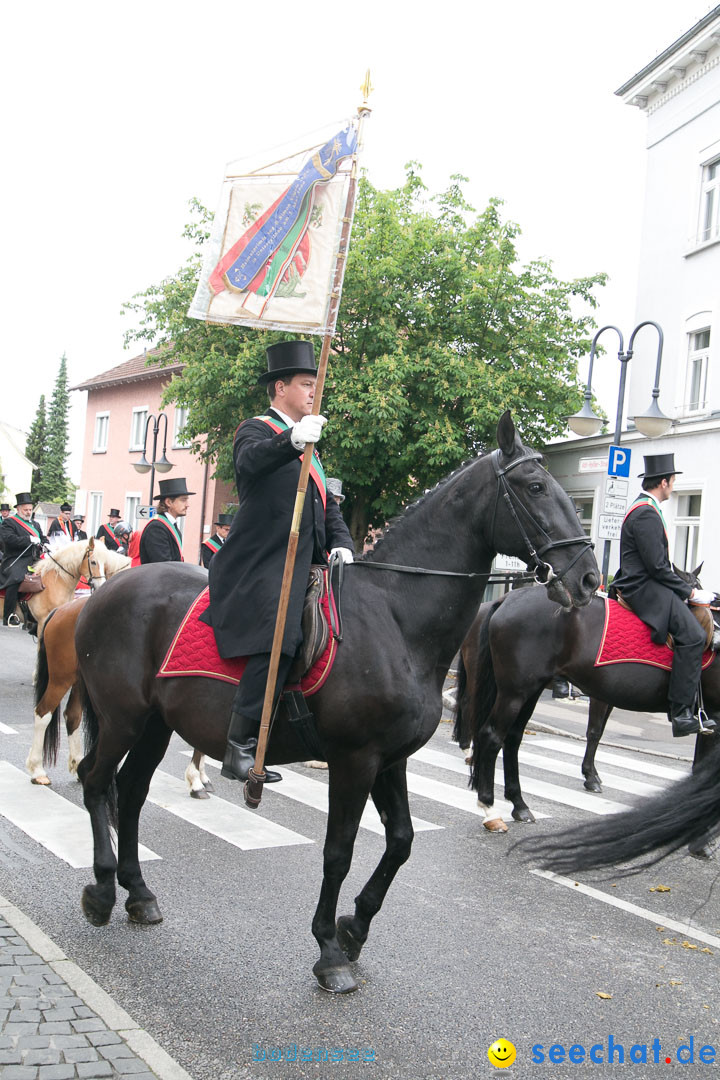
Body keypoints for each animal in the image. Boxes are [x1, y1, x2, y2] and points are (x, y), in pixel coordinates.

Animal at [453, 578, 716, 829]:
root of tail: (506, 598)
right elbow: (594, 732)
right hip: (513, 693)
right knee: (488, 733)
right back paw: (489, 807)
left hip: (529, 691)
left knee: (511, 738)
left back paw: (519, 804)